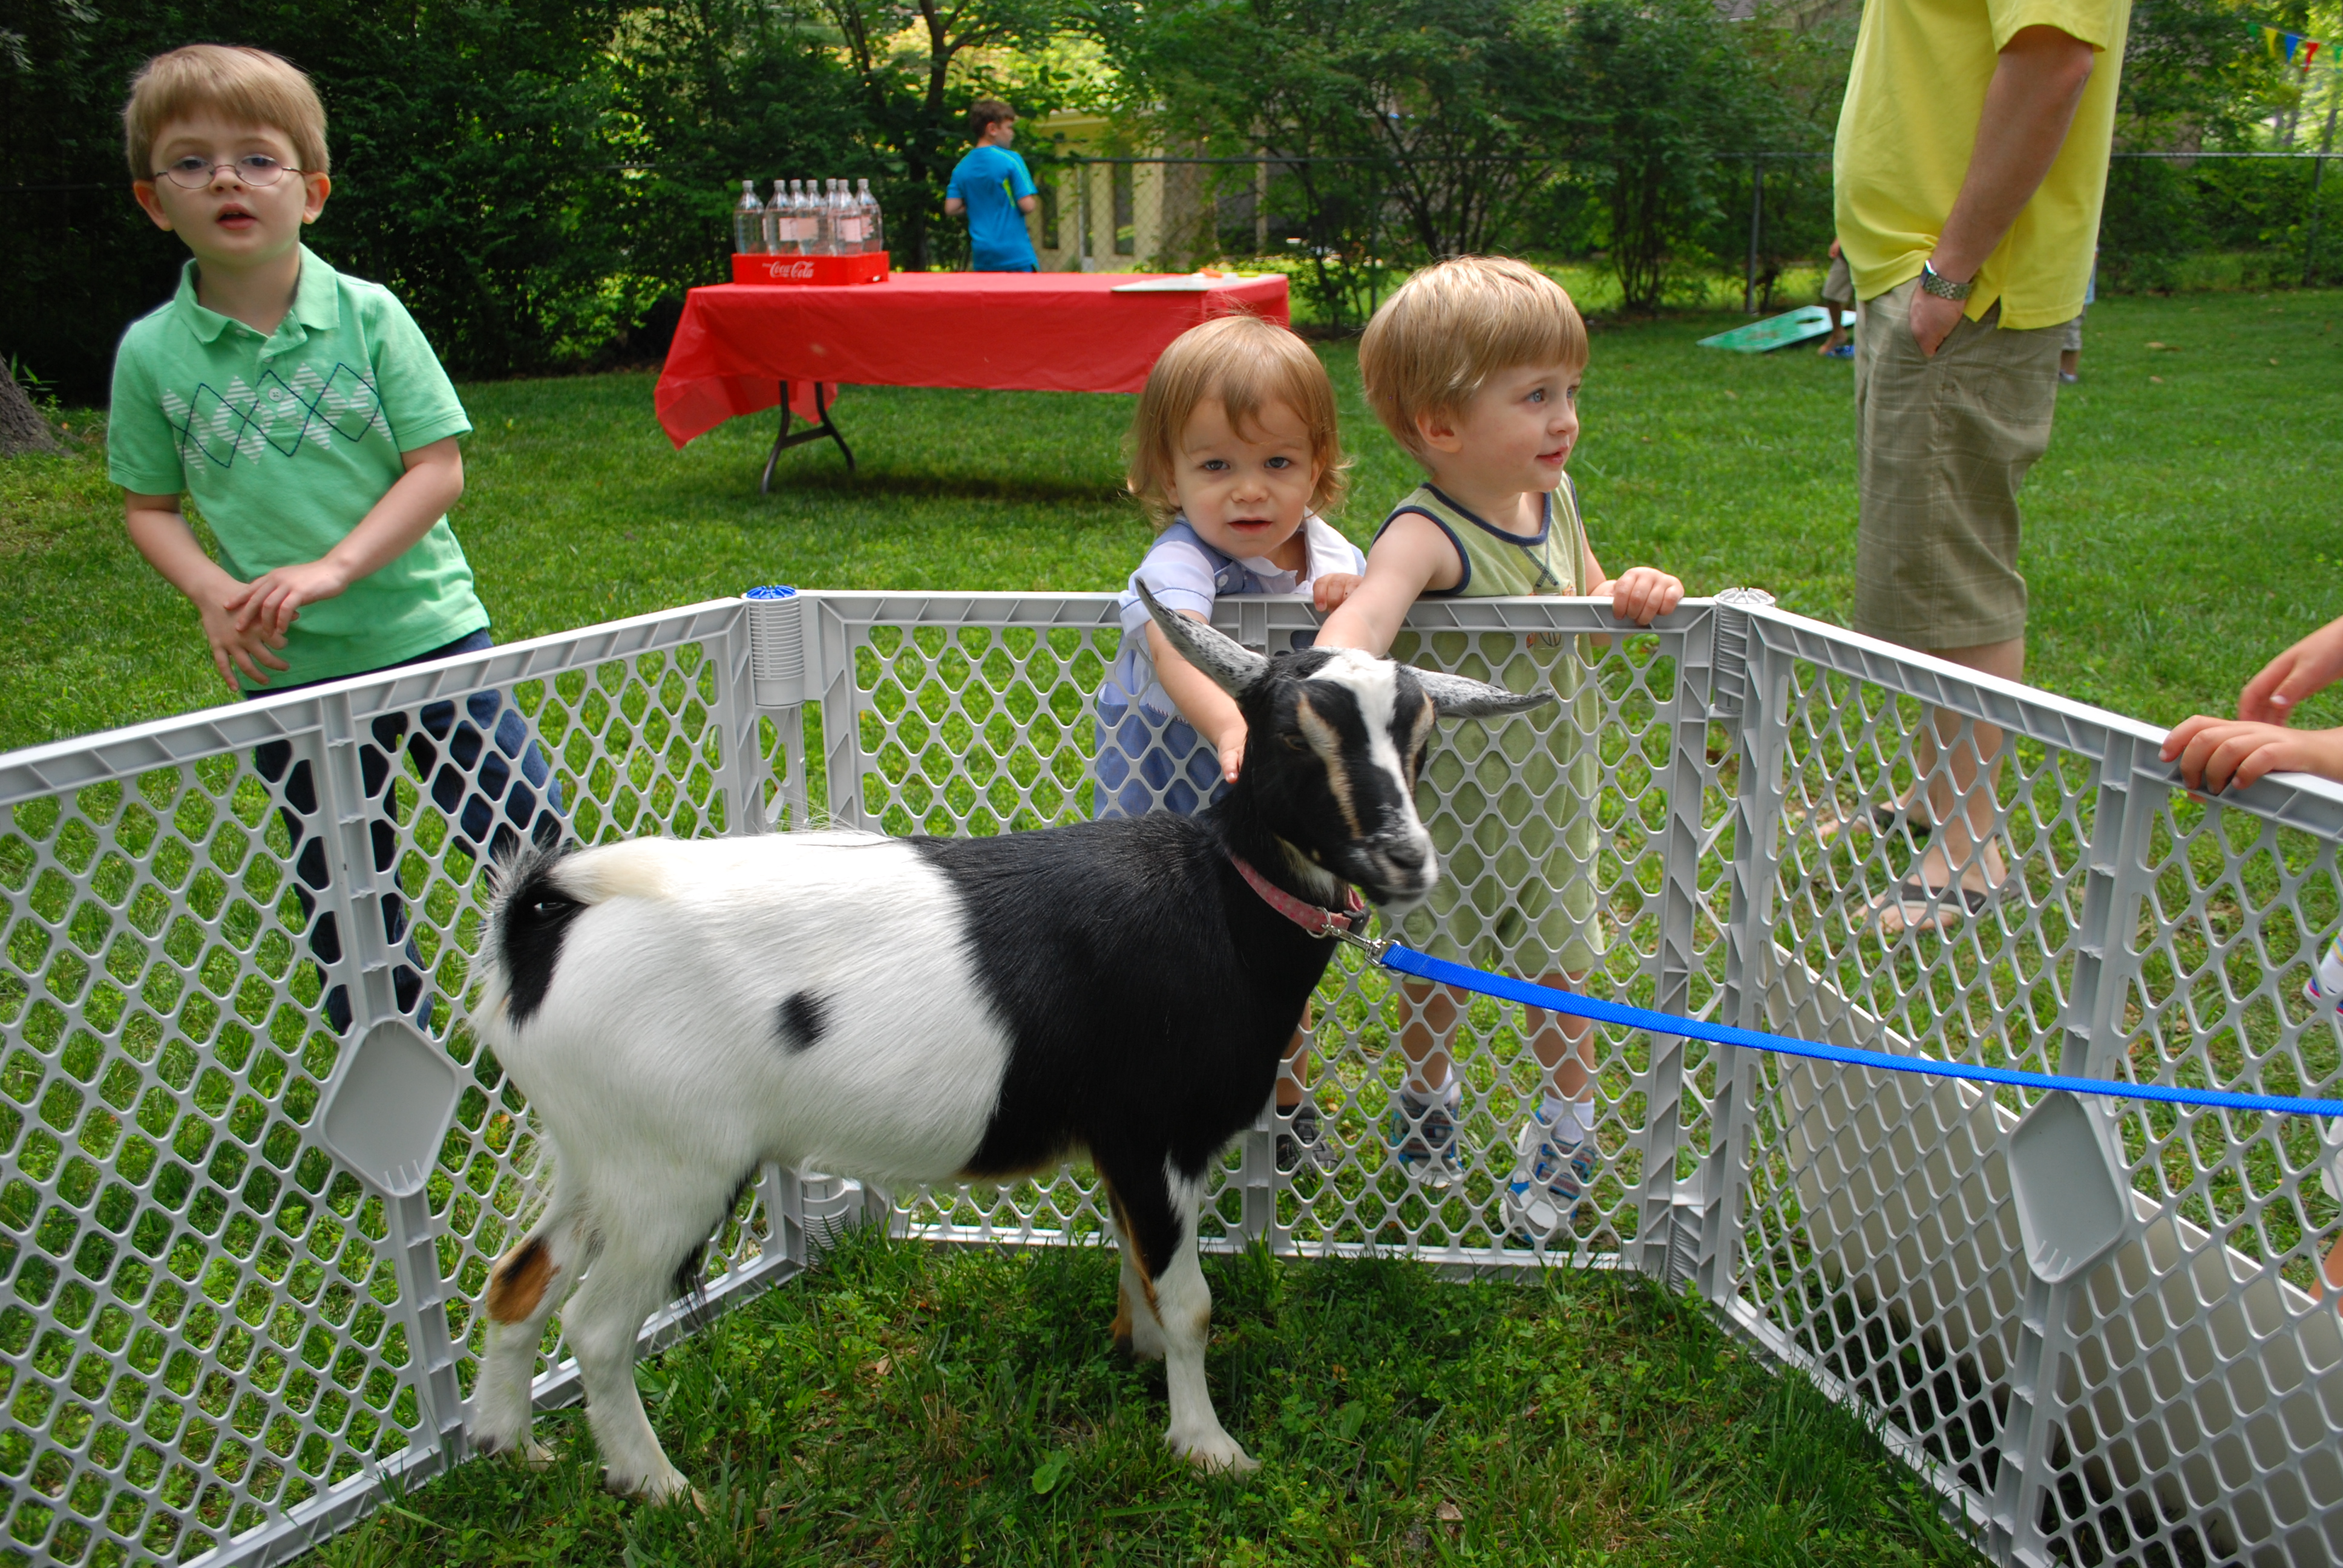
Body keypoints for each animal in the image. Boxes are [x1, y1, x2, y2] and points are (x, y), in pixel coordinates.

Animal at [464, 593, 1546, 1500]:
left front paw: (1135, 1355)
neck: (1217, 897)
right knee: (596, 1329)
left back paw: (514, 1449)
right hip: (673, 1174)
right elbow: (1191, 1298)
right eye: (1291, 731)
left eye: (1421, 739)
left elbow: (1140, 1266)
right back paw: (662, 1489)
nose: (1404, 860)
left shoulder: (1126, 1152)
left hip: (595, 1157)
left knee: (517, 1283)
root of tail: (543, 928)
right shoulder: (1153, 1135)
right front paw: (1207, 1446)